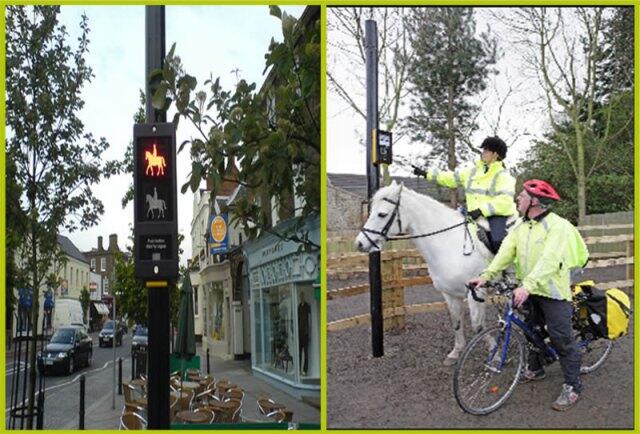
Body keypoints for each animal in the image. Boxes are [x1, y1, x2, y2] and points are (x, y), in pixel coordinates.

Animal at [358, 180, 492, 366]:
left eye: (382, 214)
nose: (360, 243)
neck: (451, 244)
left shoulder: (476, 292)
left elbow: (479, 326)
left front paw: (496, 352)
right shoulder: (450, 294)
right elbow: (456, 321)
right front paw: (456, 352)